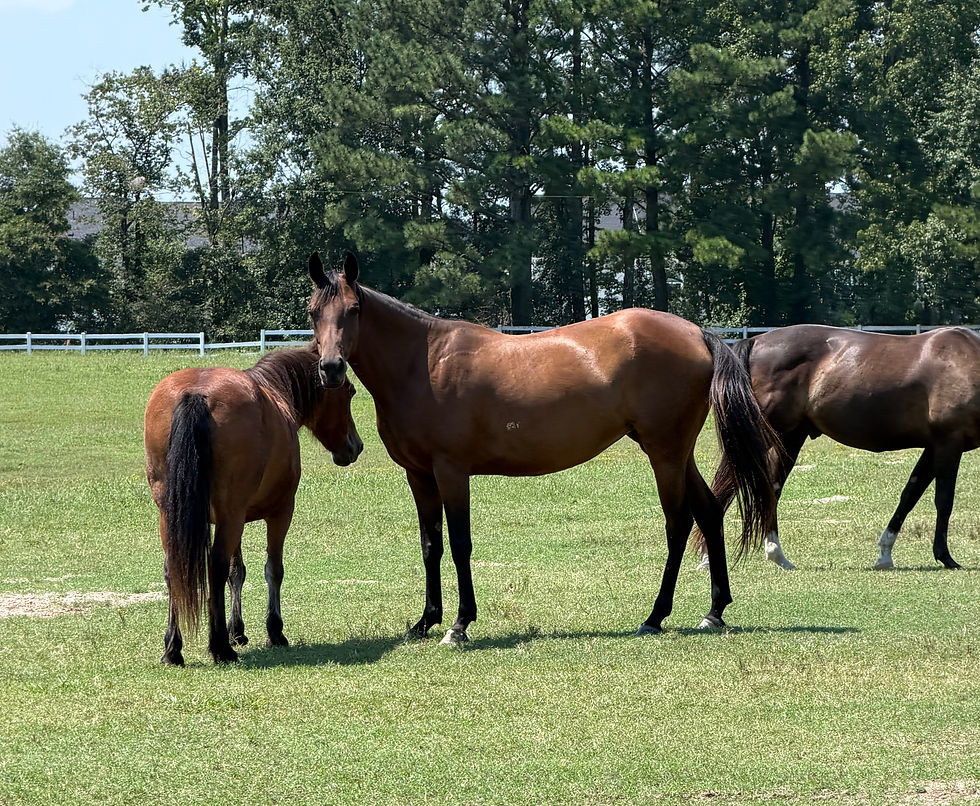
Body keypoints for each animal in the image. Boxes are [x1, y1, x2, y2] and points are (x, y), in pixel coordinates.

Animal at [144, 343, 363, 665]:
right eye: (349, 391)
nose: (356, 445)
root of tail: (196, 393)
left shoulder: (232, 520)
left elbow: (237, 572)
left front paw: (237, 629)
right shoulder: (279, 512)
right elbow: (273, 569)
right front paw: (274, 631)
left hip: (174, 514)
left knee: (175, 567)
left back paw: (173, 649)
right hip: (232, 516)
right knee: (216, 567)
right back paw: (220, 647)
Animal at [306, 252, 779, 644]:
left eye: (353, 310)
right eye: (313, 312)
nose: (330, 368)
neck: (422, 363)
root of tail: (697, 333)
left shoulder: (451, 472)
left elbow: (460, 544)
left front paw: (459, 625)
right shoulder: (419, 475)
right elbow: (431, 546)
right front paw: (425, 621)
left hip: (665, 454)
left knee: (678, 524)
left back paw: (654, 616)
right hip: (675, 453)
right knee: (710, 512)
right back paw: (714, 611)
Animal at [705, 324, 980, 571]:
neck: (965, 363)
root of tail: (756, 341)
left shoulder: (932, 447)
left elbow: (909, 495)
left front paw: (885, 554)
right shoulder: (948, 444)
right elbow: (944, 501)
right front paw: (946, 557)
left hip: (789, 438)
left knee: (771, 488)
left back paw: (777, 556)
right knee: (727, 484)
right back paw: (709, 559)